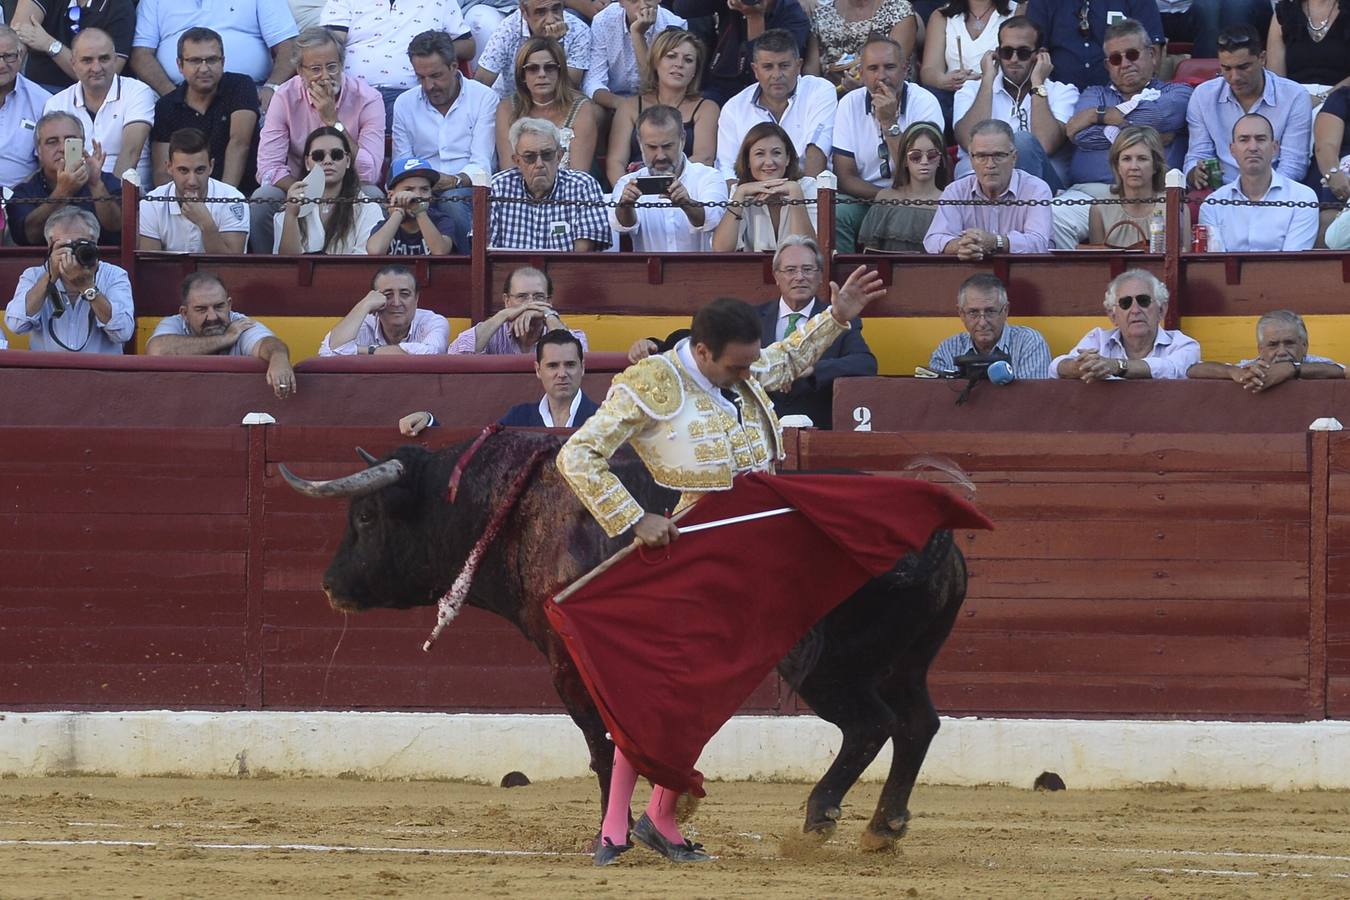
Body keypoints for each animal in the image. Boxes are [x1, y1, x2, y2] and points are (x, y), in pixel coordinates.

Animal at [279, 431, 966, 858]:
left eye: (365, 517)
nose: (330, 585)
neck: (515, 510)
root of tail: (932, 538)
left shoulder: (570, 664)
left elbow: (603, 743)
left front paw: (617, 832)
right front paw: (665, 817)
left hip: (831, 668)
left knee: (871, 725)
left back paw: (820, 818)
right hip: (903, 663)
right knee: (919, 724)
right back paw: (883, 827)